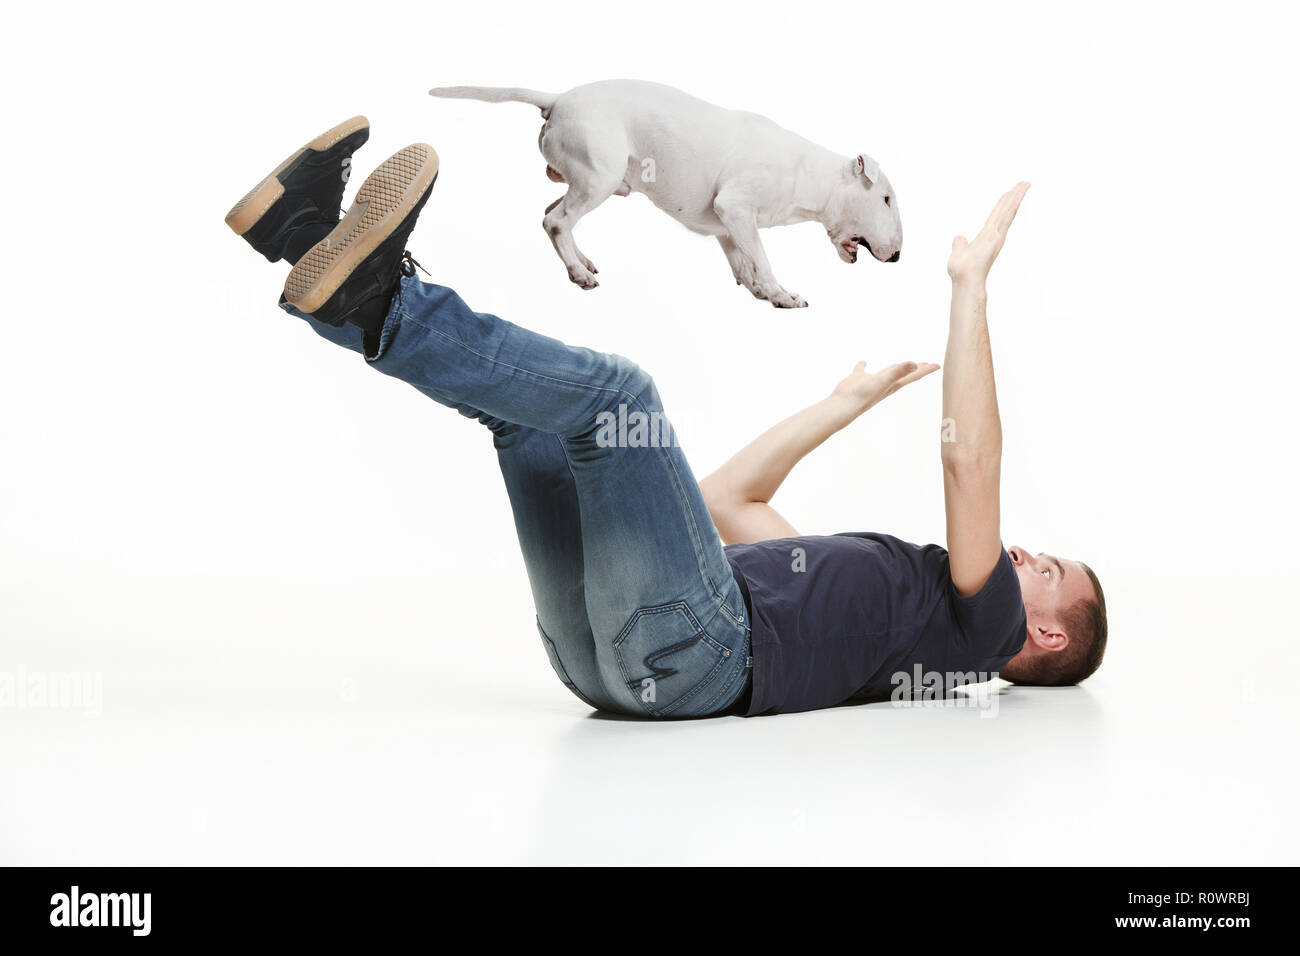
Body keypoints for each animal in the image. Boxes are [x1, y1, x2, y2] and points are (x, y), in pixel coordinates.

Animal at [431, 80, 899, 310]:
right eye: (887, 199)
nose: (897, 258)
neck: (810, 175)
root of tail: (559, 99)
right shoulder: (736, 206)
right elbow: (763, 260)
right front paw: (784, 295)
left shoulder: (727, 225)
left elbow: (744, 263)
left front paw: (761, 293)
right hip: (599, 177)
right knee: (556, 219)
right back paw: (579, 275)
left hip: (584, 179)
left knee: (551, 213)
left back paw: (582, 261)